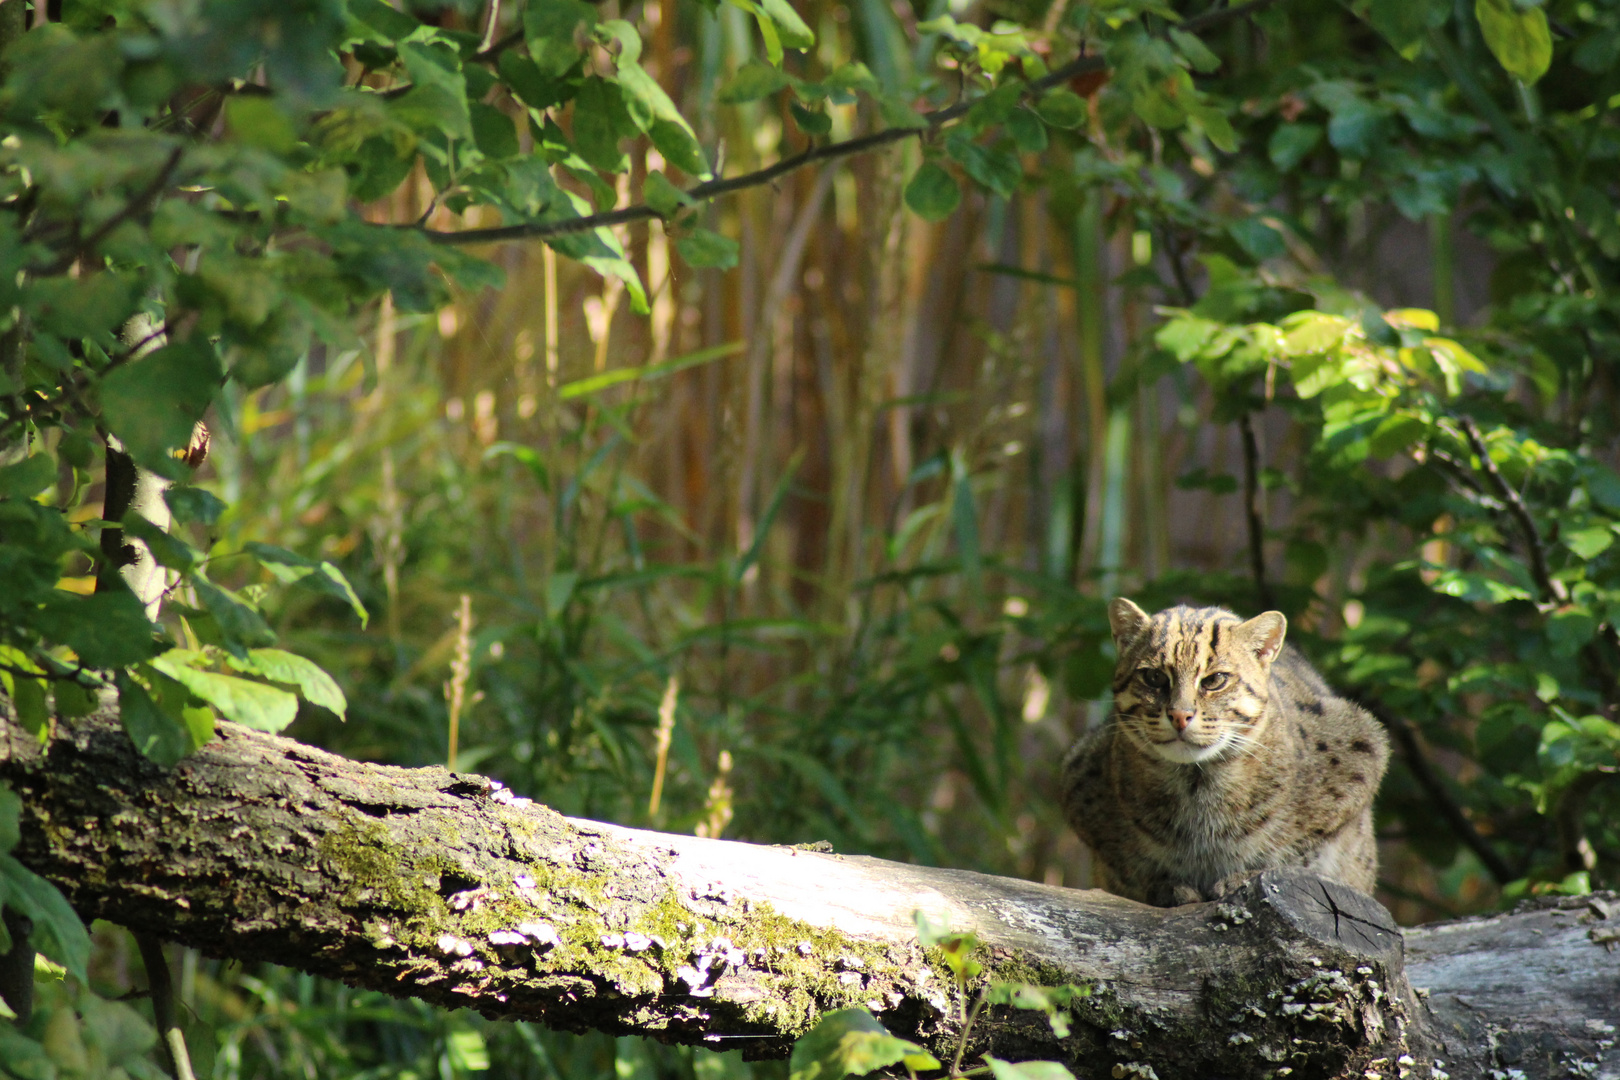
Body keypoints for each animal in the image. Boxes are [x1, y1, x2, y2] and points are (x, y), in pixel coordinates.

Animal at [1062, 595, 1393, 906]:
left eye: (1214, 680)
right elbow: (1129, 868)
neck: (1196, 782)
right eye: (1154, 677)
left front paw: (1245, 876)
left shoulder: (1364, 748)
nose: (1179, 715)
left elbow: (1300, 855)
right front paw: (1165, 886)